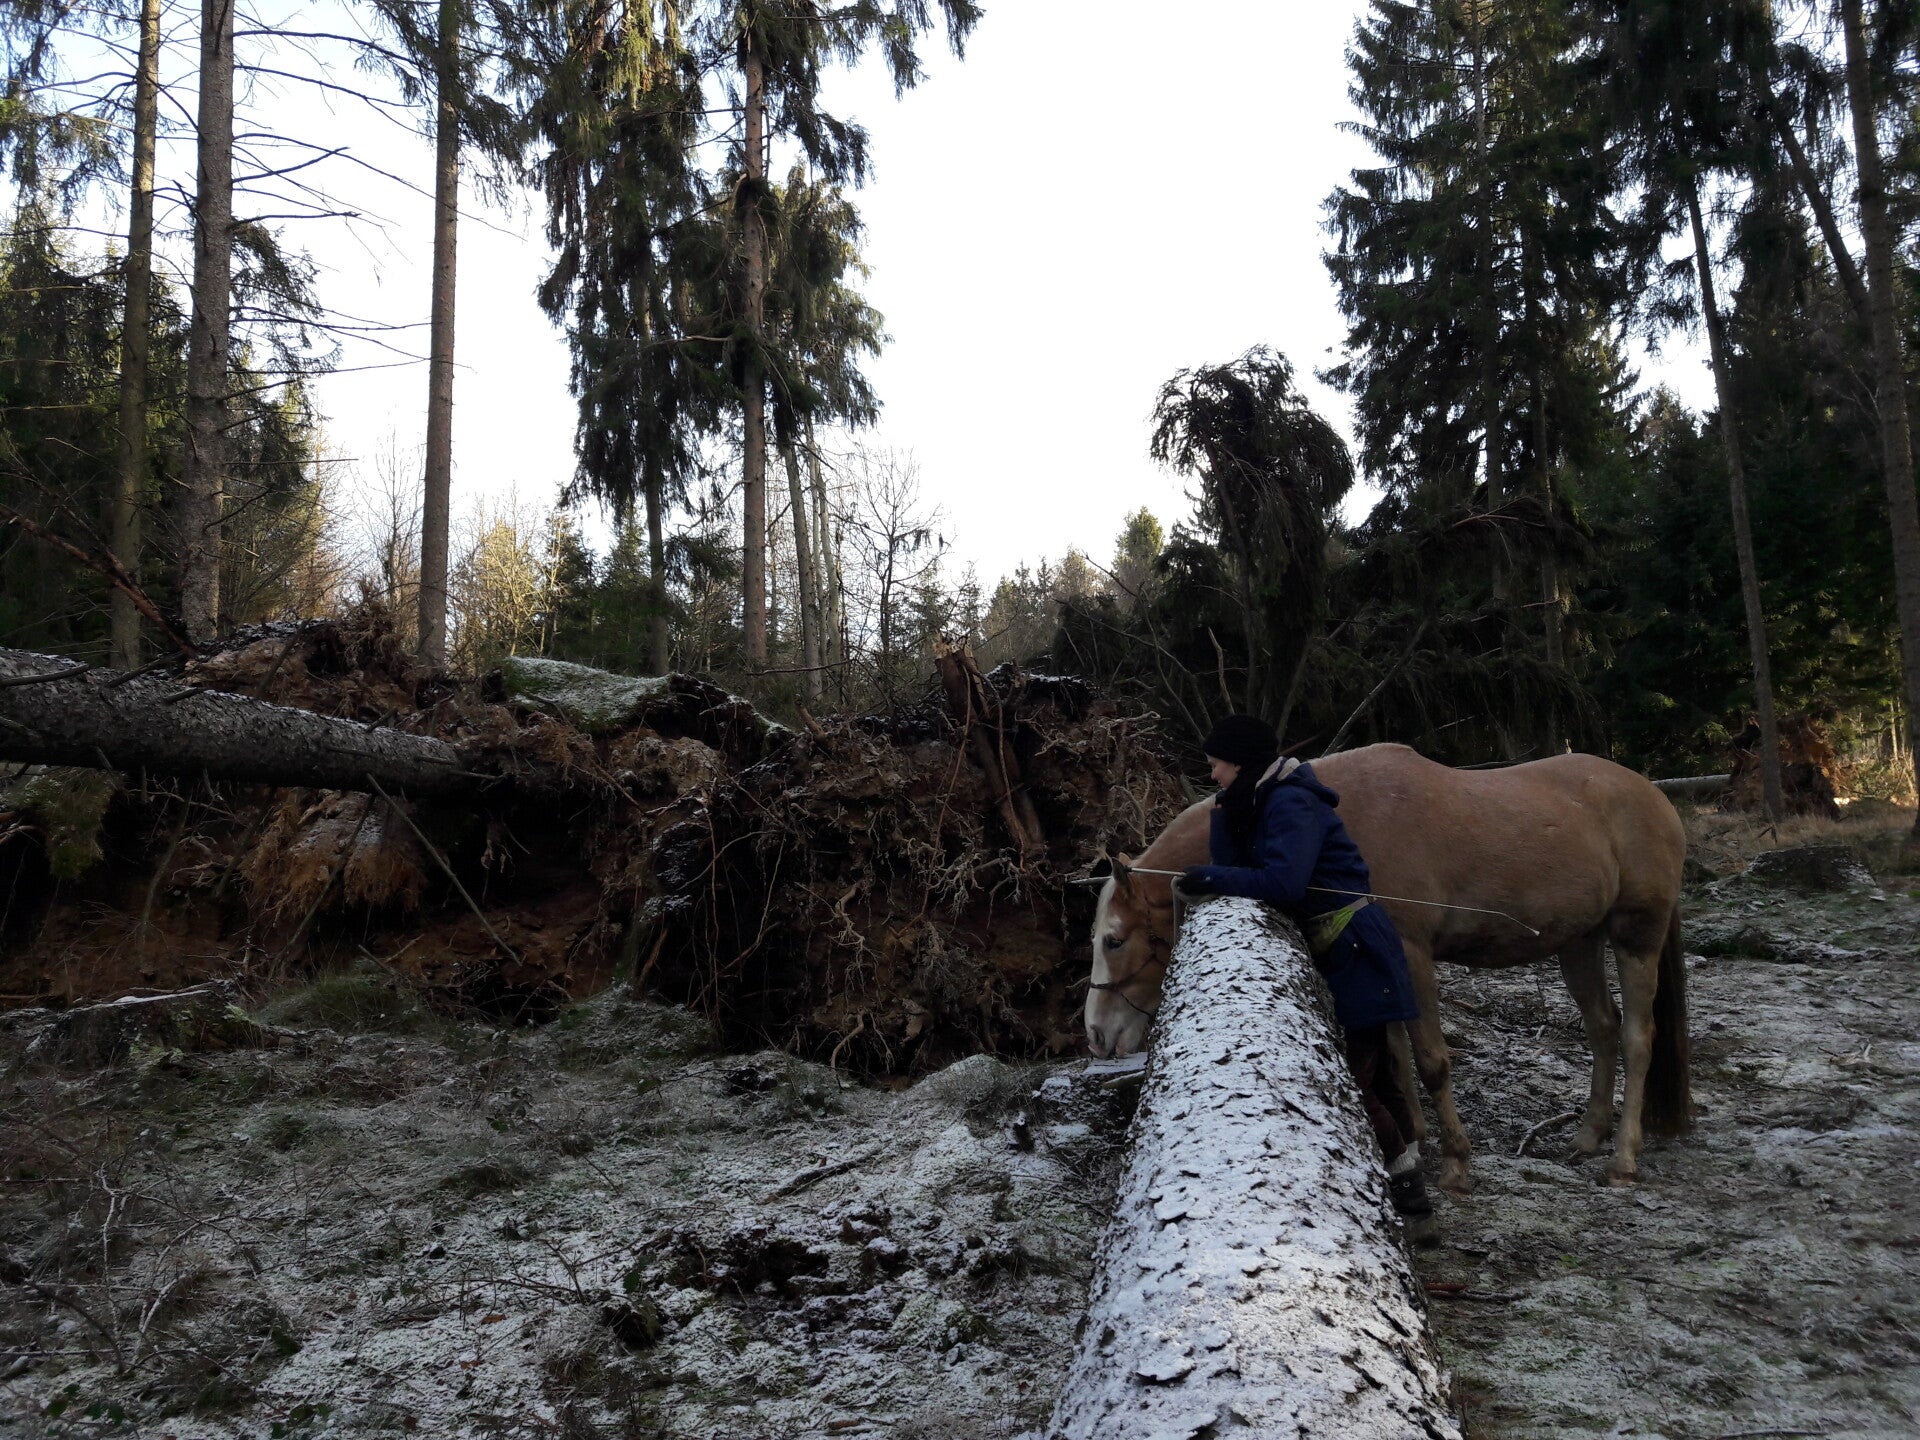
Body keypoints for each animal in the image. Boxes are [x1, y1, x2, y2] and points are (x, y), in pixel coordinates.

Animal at [1084, 743, 1690, 1190]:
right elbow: (1397, 1061)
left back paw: (1622, 1159)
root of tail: (1654, 797)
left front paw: (1457, 1163)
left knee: (1638, 1038)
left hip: (1636, 938)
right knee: (1603, 1030)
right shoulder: (1384, 970)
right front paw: (1416, 1143)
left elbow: (1431, 1063)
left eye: (1114, 941)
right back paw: (1588, 1136)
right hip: (1579, 943)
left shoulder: (1411, 955)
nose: (1095, 1034)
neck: (1343, 814)